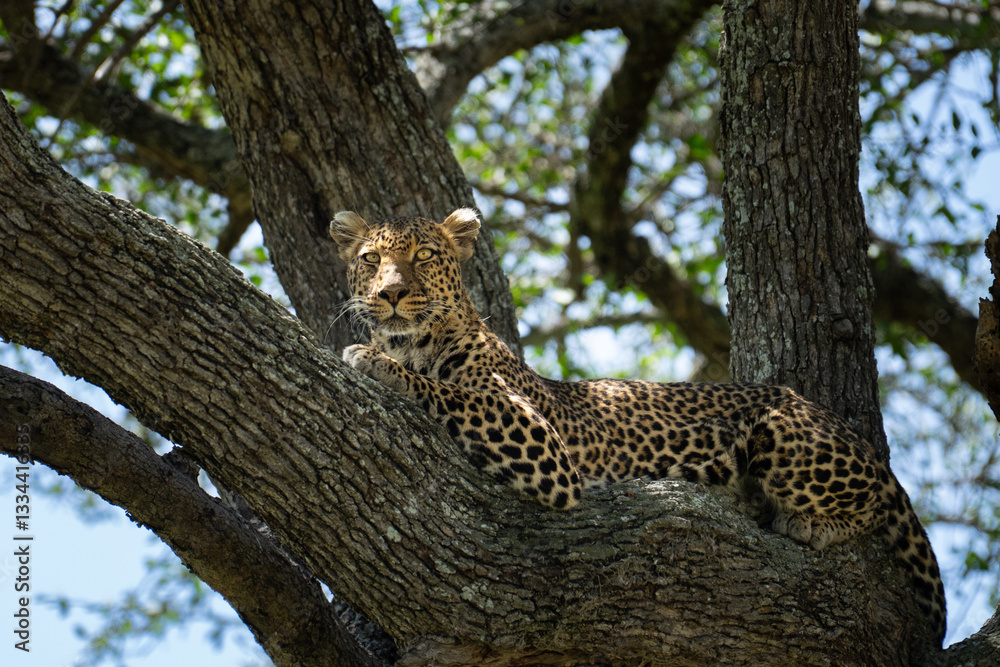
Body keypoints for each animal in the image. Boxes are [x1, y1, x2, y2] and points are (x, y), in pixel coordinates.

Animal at [329, 207, 947, 645]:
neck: (414, 344)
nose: (391, 293)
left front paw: (371, 360)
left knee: (874, 504)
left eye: (424, 254)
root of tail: (842, 425)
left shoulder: (540, 442)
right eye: (371, 259)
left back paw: (806, 521)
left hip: (782, 434)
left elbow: (449, 392)